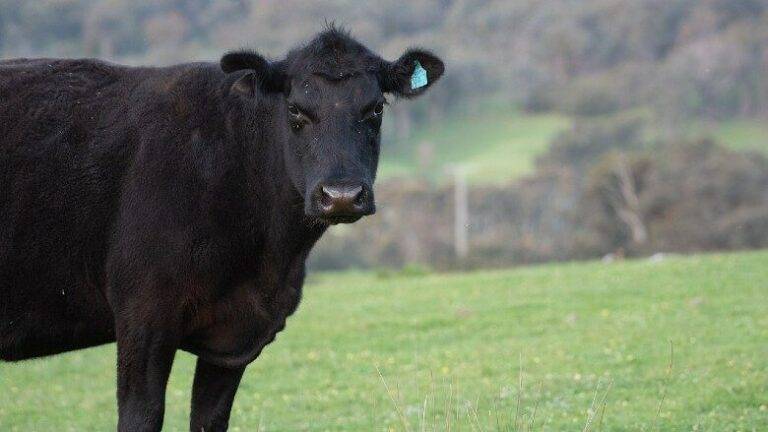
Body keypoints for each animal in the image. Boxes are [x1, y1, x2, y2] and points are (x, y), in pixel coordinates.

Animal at [0, 27, 444, 431]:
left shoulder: (234, 336)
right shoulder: (143, 315)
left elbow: (210, 419)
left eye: (376, 109)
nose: (341, 195)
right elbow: (142, 416)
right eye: (295, 111)